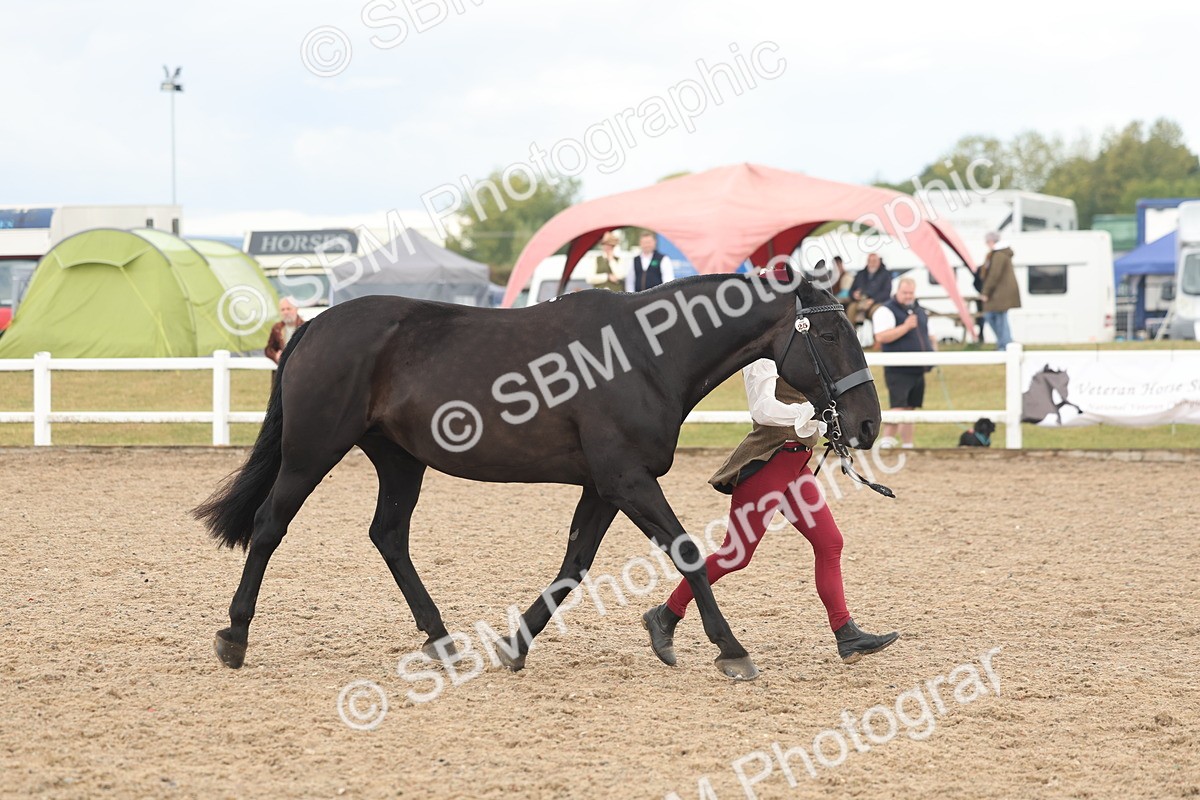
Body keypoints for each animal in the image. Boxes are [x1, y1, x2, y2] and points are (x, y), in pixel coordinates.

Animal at [193, 269, 882, 681]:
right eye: (828, 333)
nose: (868, 423)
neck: (644, 354)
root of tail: (314, 323)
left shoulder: (604, 486)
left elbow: (574, 565)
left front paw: (516, 644)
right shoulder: (627, 479)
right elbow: (685, 550)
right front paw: (730, 649)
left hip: (399, 460)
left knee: (387, 535)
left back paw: (442, 640)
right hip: (312, 451)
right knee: (270, 526)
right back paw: (234, 636)